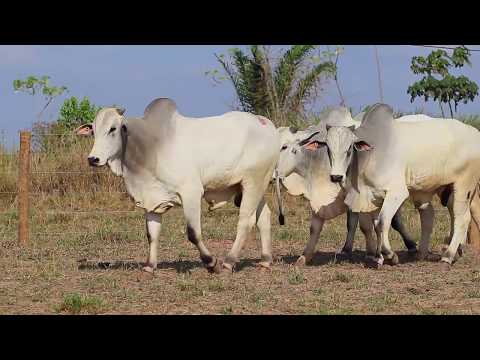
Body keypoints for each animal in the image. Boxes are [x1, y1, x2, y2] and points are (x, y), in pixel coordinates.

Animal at [78, 98, 282, 272]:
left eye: (113, 129)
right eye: (93, 131)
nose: (93, 159)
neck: (149, 147)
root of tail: (266, 123)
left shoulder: (191, 193)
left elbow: (193, 233)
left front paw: (211, 262)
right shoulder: (152, 198)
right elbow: (152, 234)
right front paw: (149, 266)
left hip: (253, 182)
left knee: (245, 221)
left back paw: (229, 261)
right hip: (253, 186)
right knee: (263, 217)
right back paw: (265, 260)